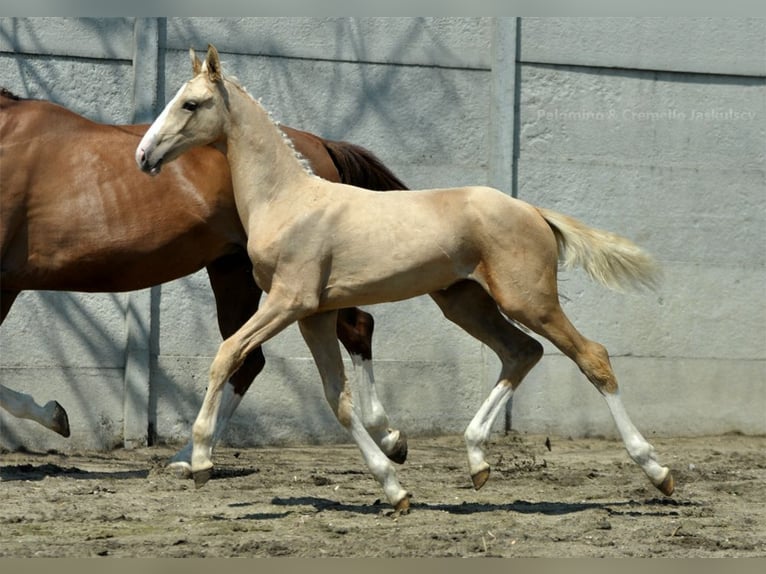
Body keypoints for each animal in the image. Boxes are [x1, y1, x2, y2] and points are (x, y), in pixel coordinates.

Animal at [0, 86, 412, 472]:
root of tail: (320, 146)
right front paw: (55, 415)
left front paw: (54, 415)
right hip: (236, 274)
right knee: (252, 358)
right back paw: (190, 457)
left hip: (296, 282)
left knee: (355, 327)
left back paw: (387, 438)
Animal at [135, 42, 676, 516]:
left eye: (191, 103)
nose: (143, 156)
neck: (288, 200)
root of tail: (533, 210)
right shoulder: (316, 315)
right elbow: (338, 400)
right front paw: (395, 488)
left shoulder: (288, 302)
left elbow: (228, 354)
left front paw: (199, 462)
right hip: (465, 303)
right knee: (522, 352)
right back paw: (477, 461)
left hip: (529, 300)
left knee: (592, 357)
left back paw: (657, 471)